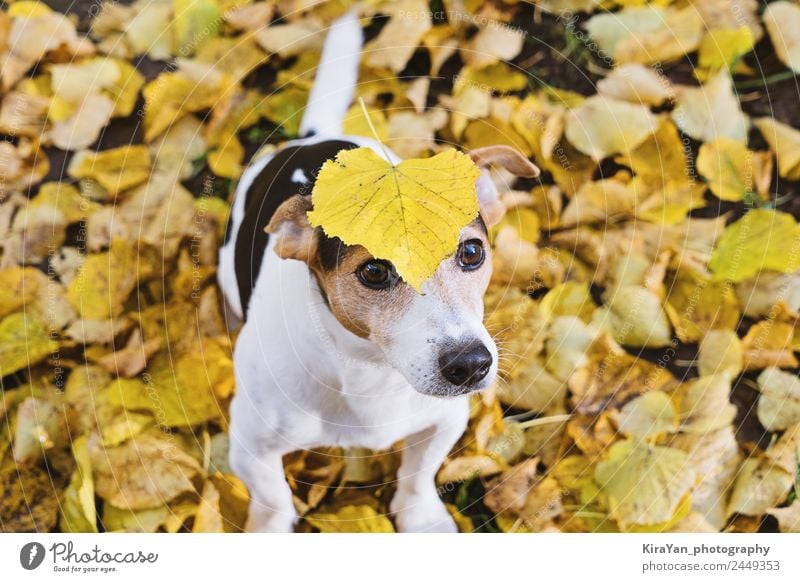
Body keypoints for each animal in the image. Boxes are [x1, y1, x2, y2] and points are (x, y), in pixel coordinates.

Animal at [220, 10, 536, 532]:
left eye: (472, 252)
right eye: (373, 271)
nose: (471, 364)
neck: (372, 372)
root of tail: (316, 139)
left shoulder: (444, 420)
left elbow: (418, 473)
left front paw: (421, 518)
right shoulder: (249, 446)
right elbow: (273, 498)